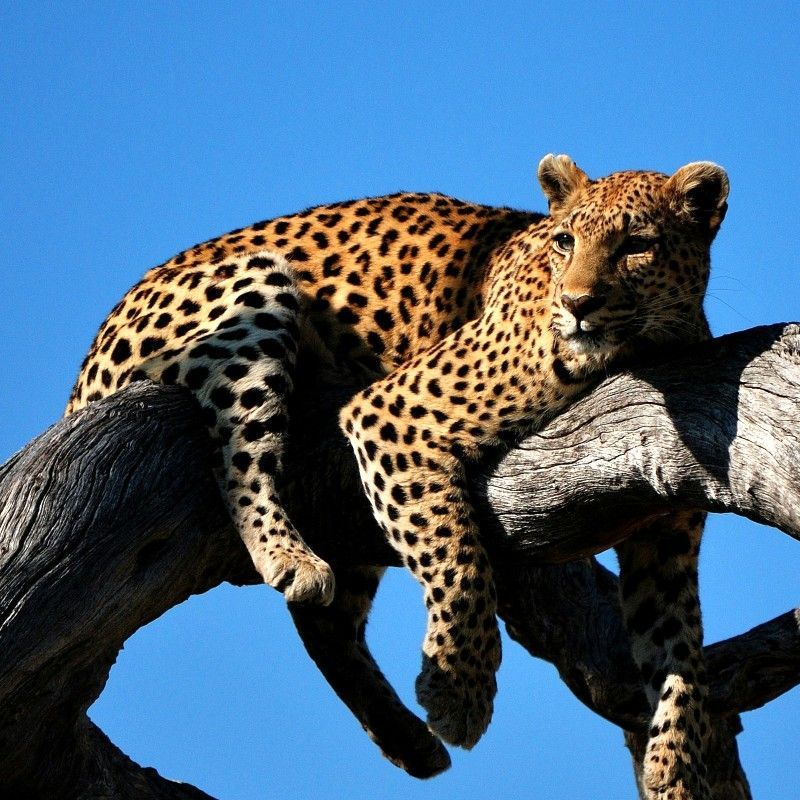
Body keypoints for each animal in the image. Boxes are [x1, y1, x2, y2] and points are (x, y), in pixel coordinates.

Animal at [67, 155, 728, 799]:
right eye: (565, 241)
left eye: (636, 246)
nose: (576, 304)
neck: (639, 351)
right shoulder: (391, 414)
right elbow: (458, 556)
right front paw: (460, 693)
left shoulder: (665, 534)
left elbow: (679, 647)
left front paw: (677, 767)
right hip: (256, 289)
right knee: (241, 453)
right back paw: (290, 556)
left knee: (327, 621)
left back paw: (406, 740)